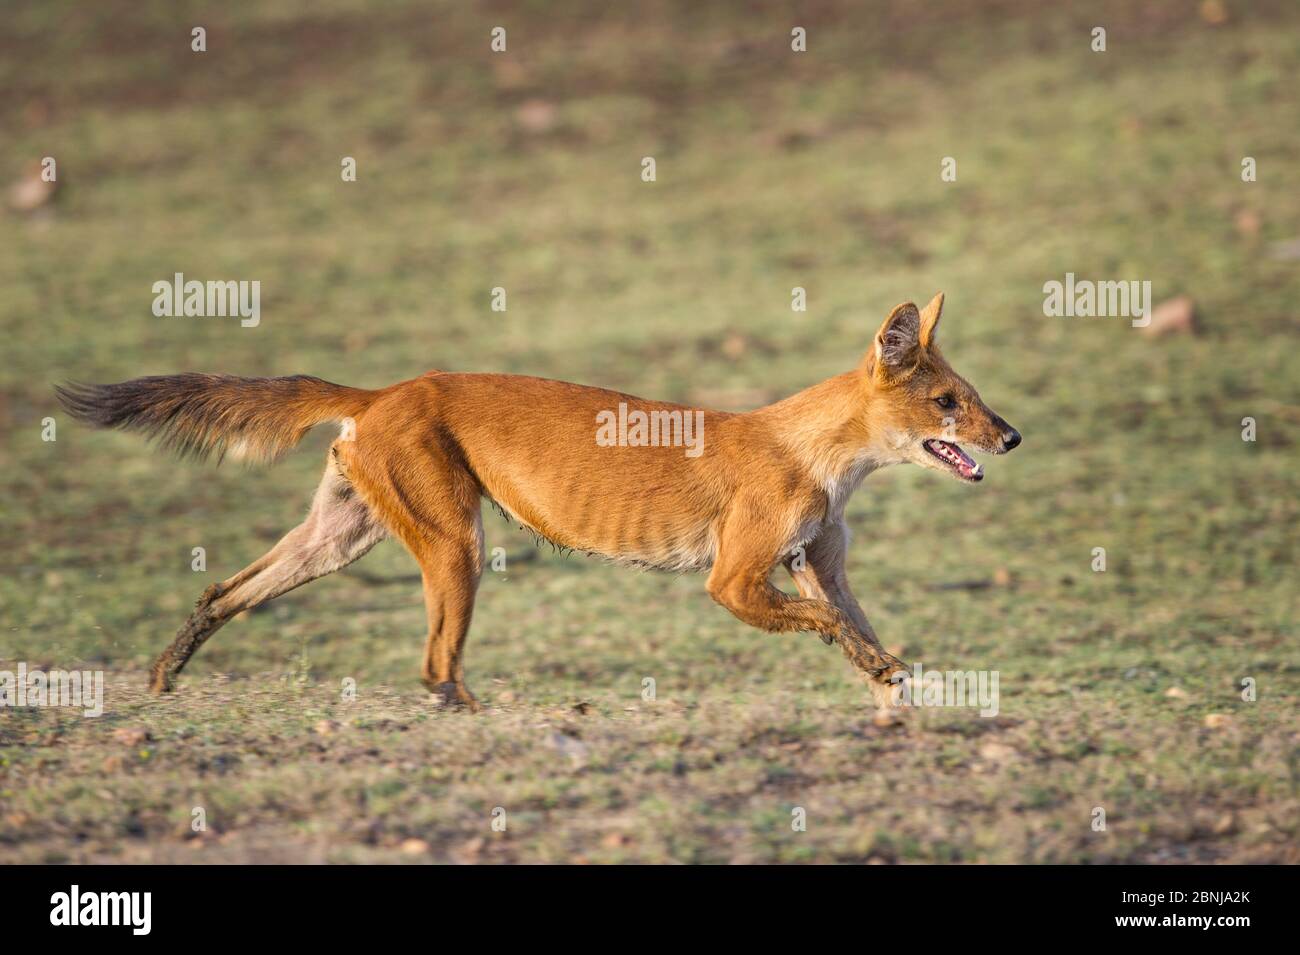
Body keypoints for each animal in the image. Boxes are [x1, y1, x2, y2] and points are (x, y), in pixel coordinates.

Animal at [58, 293, 1013, 712]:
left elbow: (856, 625)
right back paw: (473, 719)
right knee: (434, 666)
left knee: (222, 590)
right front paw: (884, 672)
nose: (1011, 436)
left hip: (340, 539)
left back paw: (164, 675)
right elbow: (828, 625)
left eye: (972, 395)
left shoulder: (816, 564)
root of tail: (385, 389)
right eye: (948, 402)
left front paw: (894, 677)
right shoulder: (735, 580)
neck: (816, 453)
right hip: (457, 545)